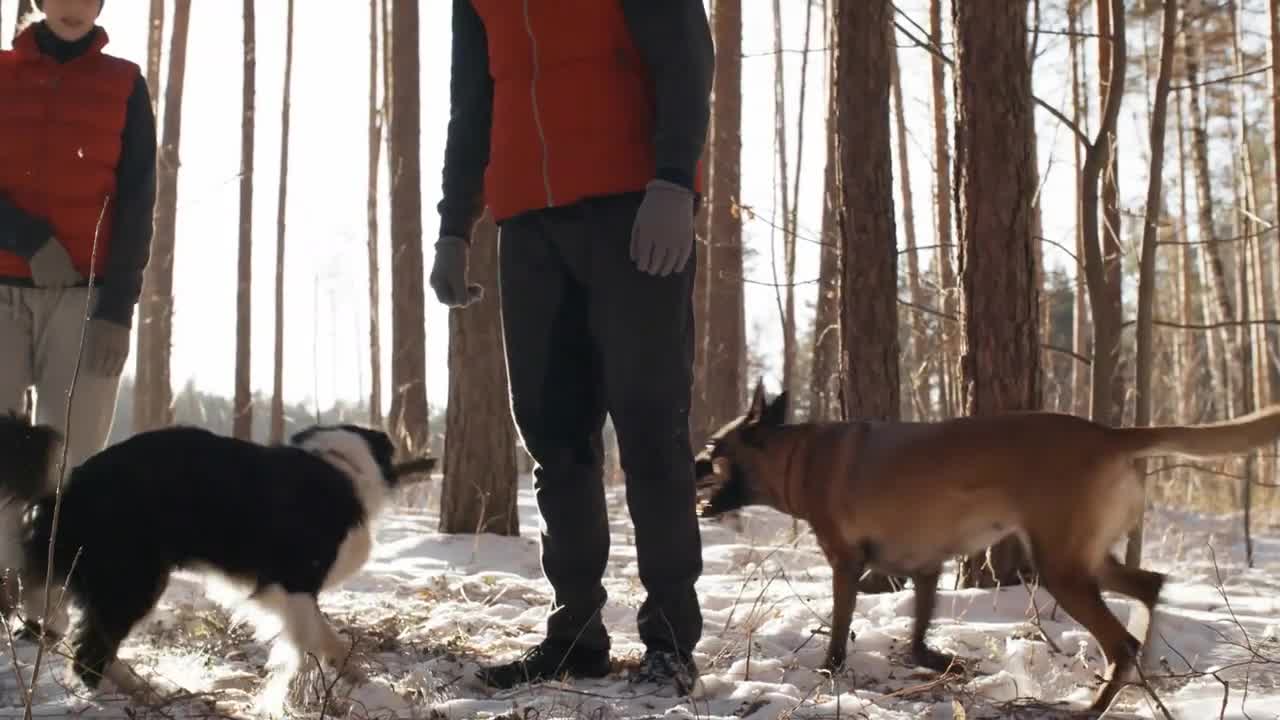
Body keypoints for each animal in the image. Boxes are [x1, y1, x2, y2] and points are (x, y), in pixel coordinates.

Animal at [0, 412, 409, 696]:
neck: (345, 466)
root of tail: (65, 490)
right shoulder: (293, 580)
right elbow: (304, 640)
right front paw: (292, 693)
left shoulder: (284, 589)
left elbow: (326, 634)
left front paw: (351, 672)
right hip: (133, 579)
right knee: (90, 654)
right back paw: (136, 694)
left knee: (94, 644)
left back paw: (140, 686)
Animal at [696, 381, 1280, 712]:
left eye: (713, 448)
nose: (690, 460)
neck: (797, 456)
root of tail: (1112, 434)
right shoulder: (927, 567)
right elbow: (917, 640)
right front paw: (947, 664)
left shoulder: (845, 563)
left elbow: (840, 630)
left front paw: (831, 671)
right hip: (1085, 560)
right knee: (1149, 588)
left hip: (1061, 569)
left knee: (1122, 643)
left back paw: (1091, 705)